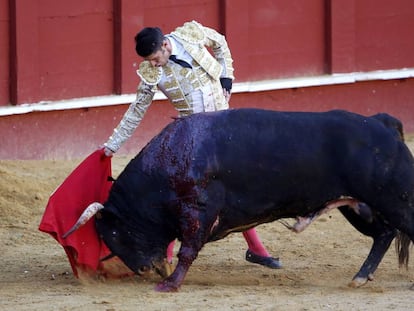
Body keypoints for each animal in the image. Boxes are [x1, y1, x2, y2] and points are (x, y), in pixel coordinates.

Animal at [62, 109, 414, 292]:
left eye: (114, 233)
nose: (148, 270)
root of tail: (382, 122)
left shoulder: (198, 211)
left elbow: (188, 250)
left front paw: (170, 284)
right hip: (357, 206)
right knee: (383, 234)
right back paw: (360, 277)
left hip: (395, 200)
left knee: (397, 229)